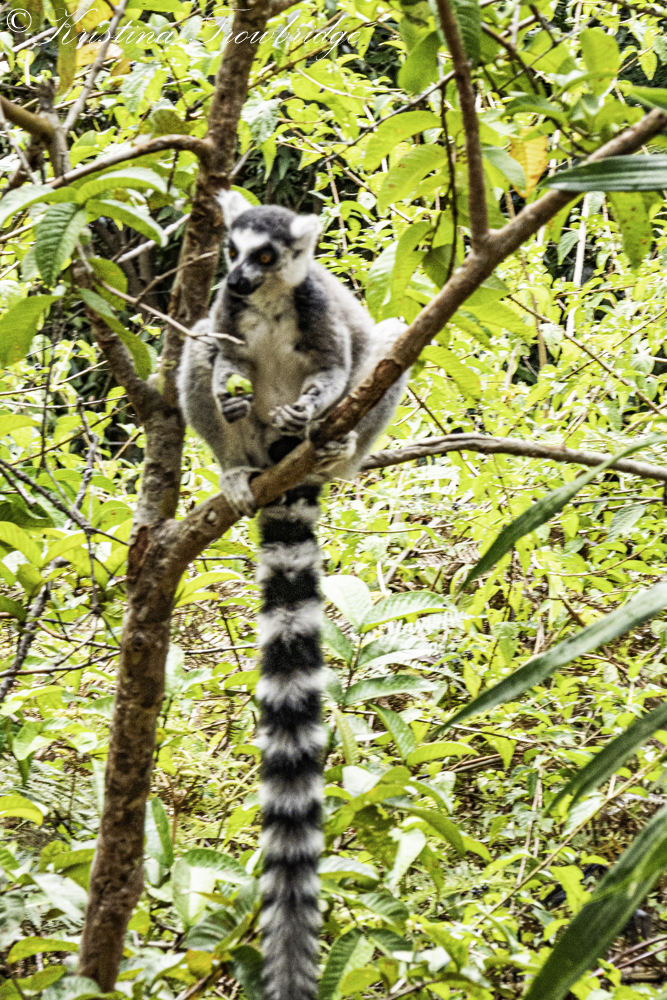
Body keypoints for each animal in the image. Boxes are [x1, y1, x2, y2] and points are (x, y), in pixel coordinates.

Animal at [177, 190, 409, 1000]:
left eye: (268, 255)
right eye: (232, 250)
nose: (239, 279)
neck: (272, 304)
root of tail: (282, 466)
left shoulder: (319, 312)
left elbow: (343, 359)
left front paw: (314, 405)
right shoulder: (224, 312)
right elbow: (214, 352)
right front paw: (228, 379)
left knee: (386, 341)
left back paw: (333, 452)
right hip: (238, 432)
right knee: (195, 355)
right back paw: (236, 473)